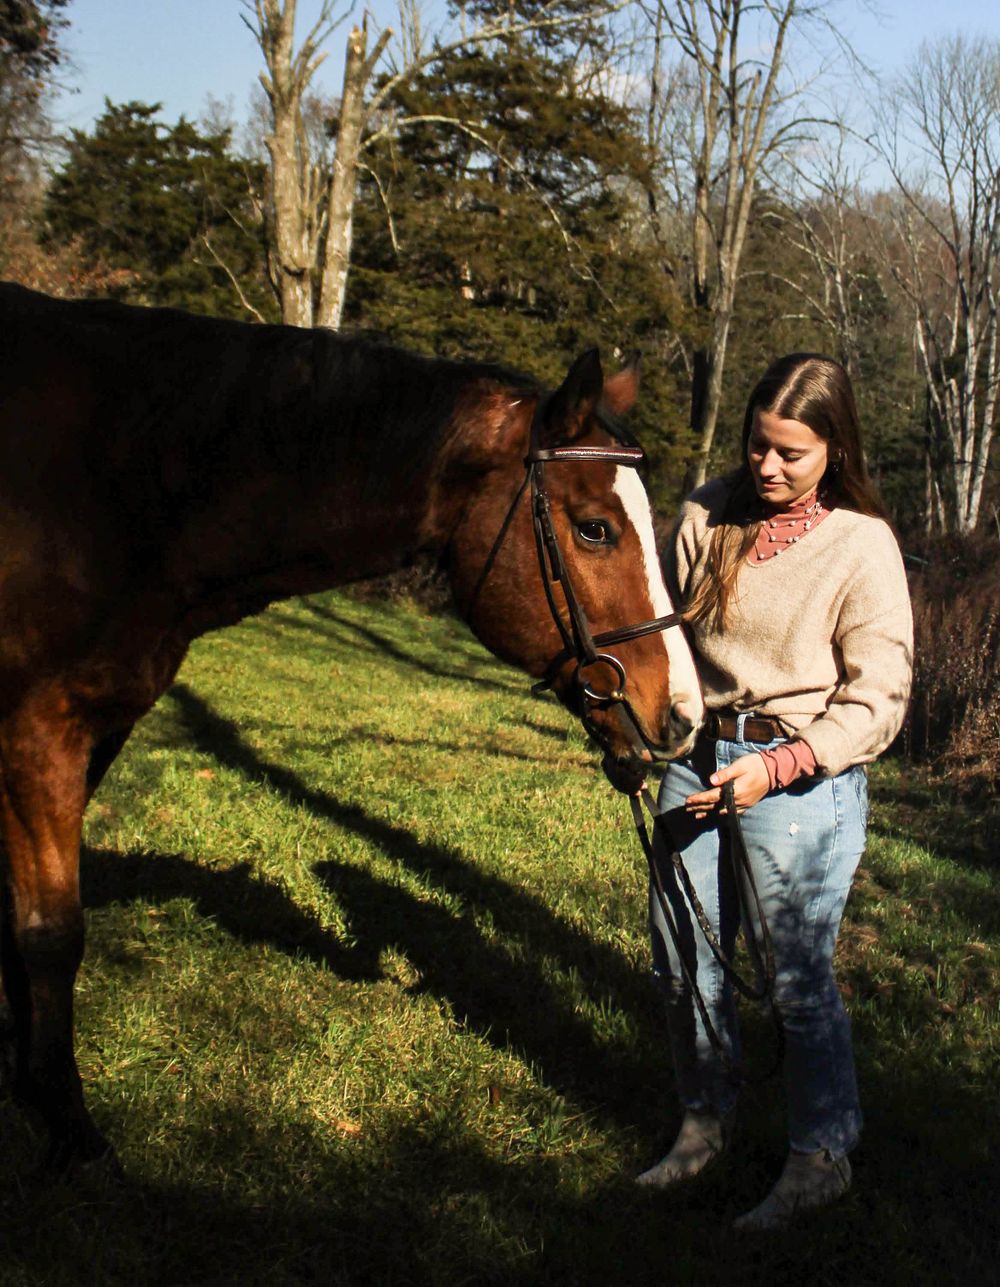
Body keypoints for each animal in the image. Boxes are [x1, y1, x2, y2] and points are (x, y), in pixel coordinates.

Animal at [0, 281, 703, 1173]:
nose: (684, 711)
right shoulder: (36, 733)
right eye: (593, 528)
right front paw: (68, 1124)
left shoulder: (90, 732)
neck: (125, 482)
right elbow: (49, 931)